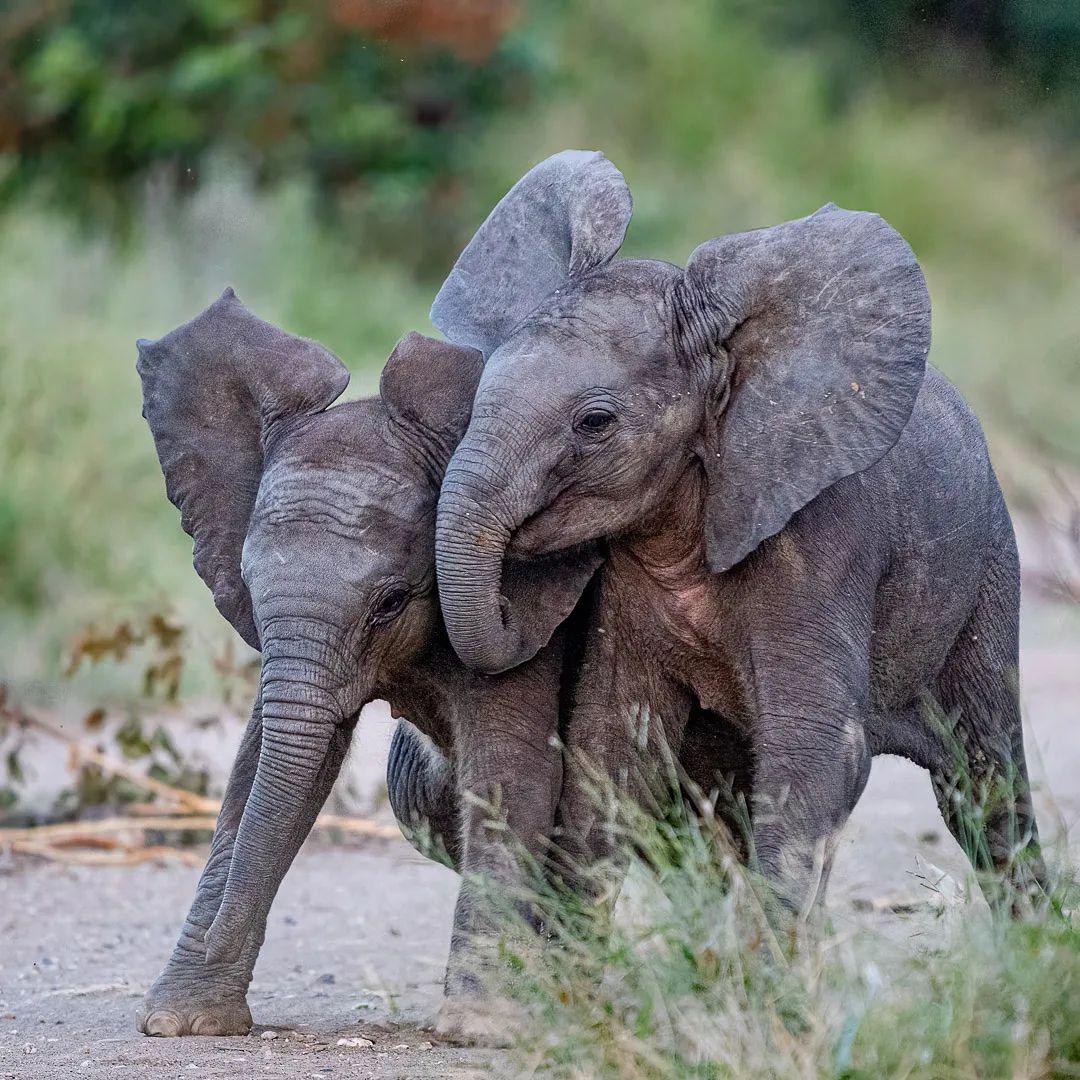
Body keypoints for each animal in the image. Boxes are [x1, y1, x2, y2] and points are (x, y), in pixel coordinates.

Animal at [130, 291, 604, 1041]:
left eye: (389, 602)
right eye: (249, 588)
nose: (219, 940)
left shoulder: (531, 605)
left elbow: (512, 770)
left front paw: (477, 1028)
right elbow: (259, 767)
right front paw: (182, 1022)